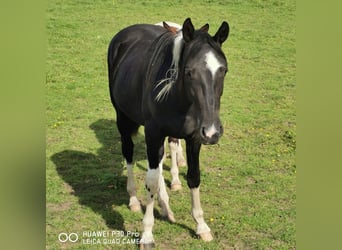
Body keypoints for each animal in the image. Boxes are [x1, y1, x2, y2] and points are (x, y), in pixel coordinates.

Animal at [107, 17, 230, 248]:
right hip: (123, 118)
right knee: (128, 153)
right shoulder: (154, 133)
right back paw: (134, 199)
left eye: (224, 70)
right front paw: (147, 234)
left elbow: (193, 176)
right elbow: (152, 182)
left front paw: (201, 226)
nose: (212, 132)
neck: (178, 98)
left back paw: (165, 207)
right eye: (188, 71)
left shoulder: (193, 138)